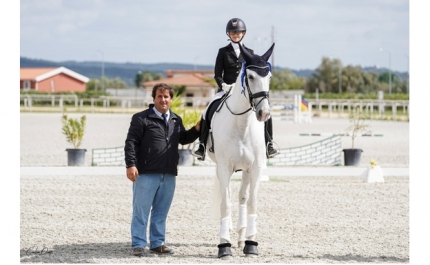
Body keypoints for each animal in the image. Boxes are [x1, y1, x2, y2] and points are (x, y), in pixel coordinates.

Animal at [206, 42, 274, 258]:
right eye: (250, 77)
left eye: (269, 77)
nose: (264, 113)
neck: (242, 125)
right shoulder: (224, 168)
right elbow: (225, 204)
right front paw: (223, 245)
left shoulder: (256, 168)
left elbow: (251, 202)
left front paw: (251, 244)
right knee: (226, 199)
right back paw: (227, 233)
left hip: (245, 170)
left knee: (242, 197)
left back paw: (241, 237)